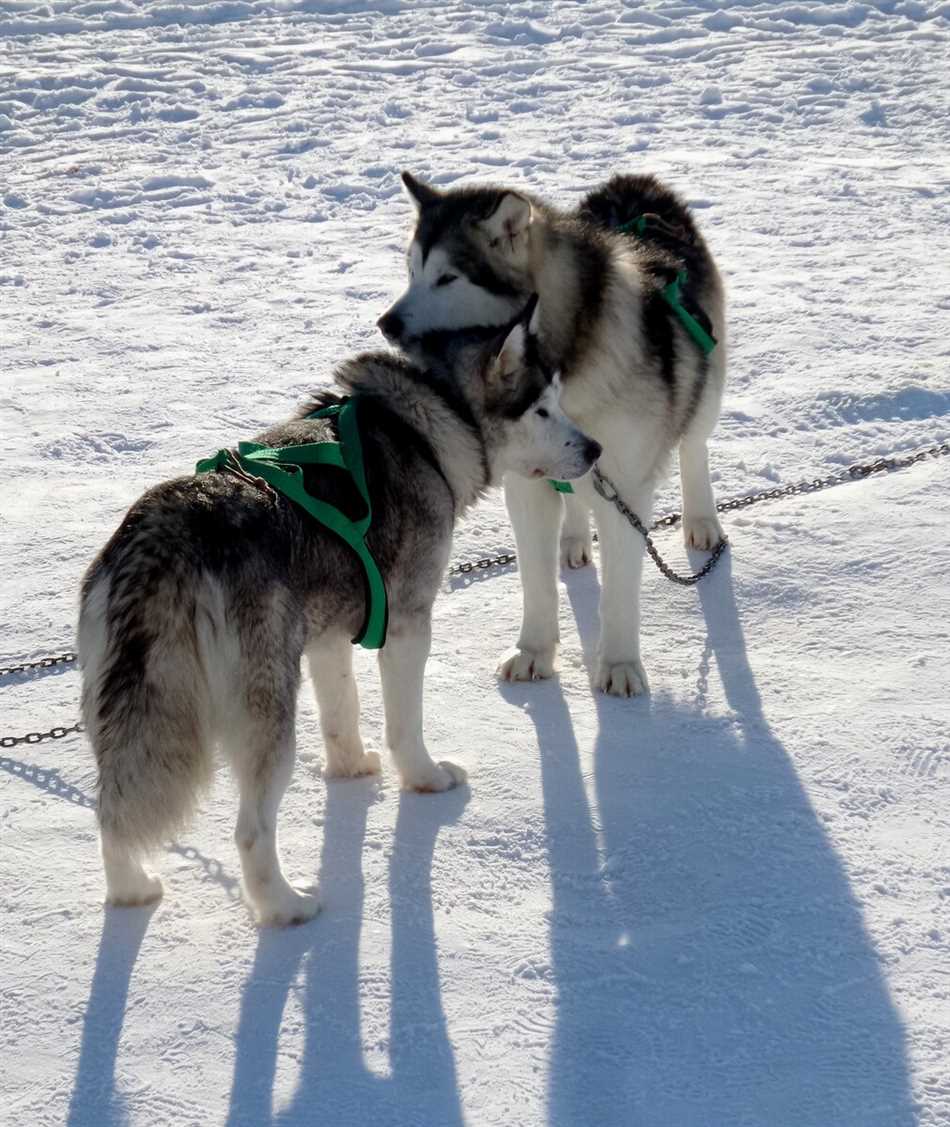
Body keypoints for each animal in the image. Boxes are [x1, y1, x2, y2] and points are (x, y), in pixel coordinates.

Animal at [77, 302, 599, 924]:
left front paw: (350, 770)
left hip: (123, 716)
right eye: (542, 409)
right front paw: (424, 779)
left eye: (560, 400)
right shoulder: (408, 624)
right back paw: (284, 907)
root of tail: (163, 537)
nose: (594, 449)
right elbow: (405, 726)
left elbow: (341, 712)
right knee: (250, 830)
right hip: (267, 712)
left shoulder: (326, 636)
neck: (427, 426)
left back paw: (131, 889)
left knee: (111, 810)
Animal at [378, 169, 730, 694]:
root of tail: (636, 184)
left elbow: (620, 591)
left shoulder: (626, 487)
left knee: (694, 446)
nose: (386, 323)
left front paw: (619, 665)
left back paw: (701, 519)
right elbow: (536, 584)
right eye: (412, 272)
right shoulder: (524, 488)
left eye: (447, 277)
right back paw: (572, 538)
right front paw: (534, 652)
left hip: (706, 385)